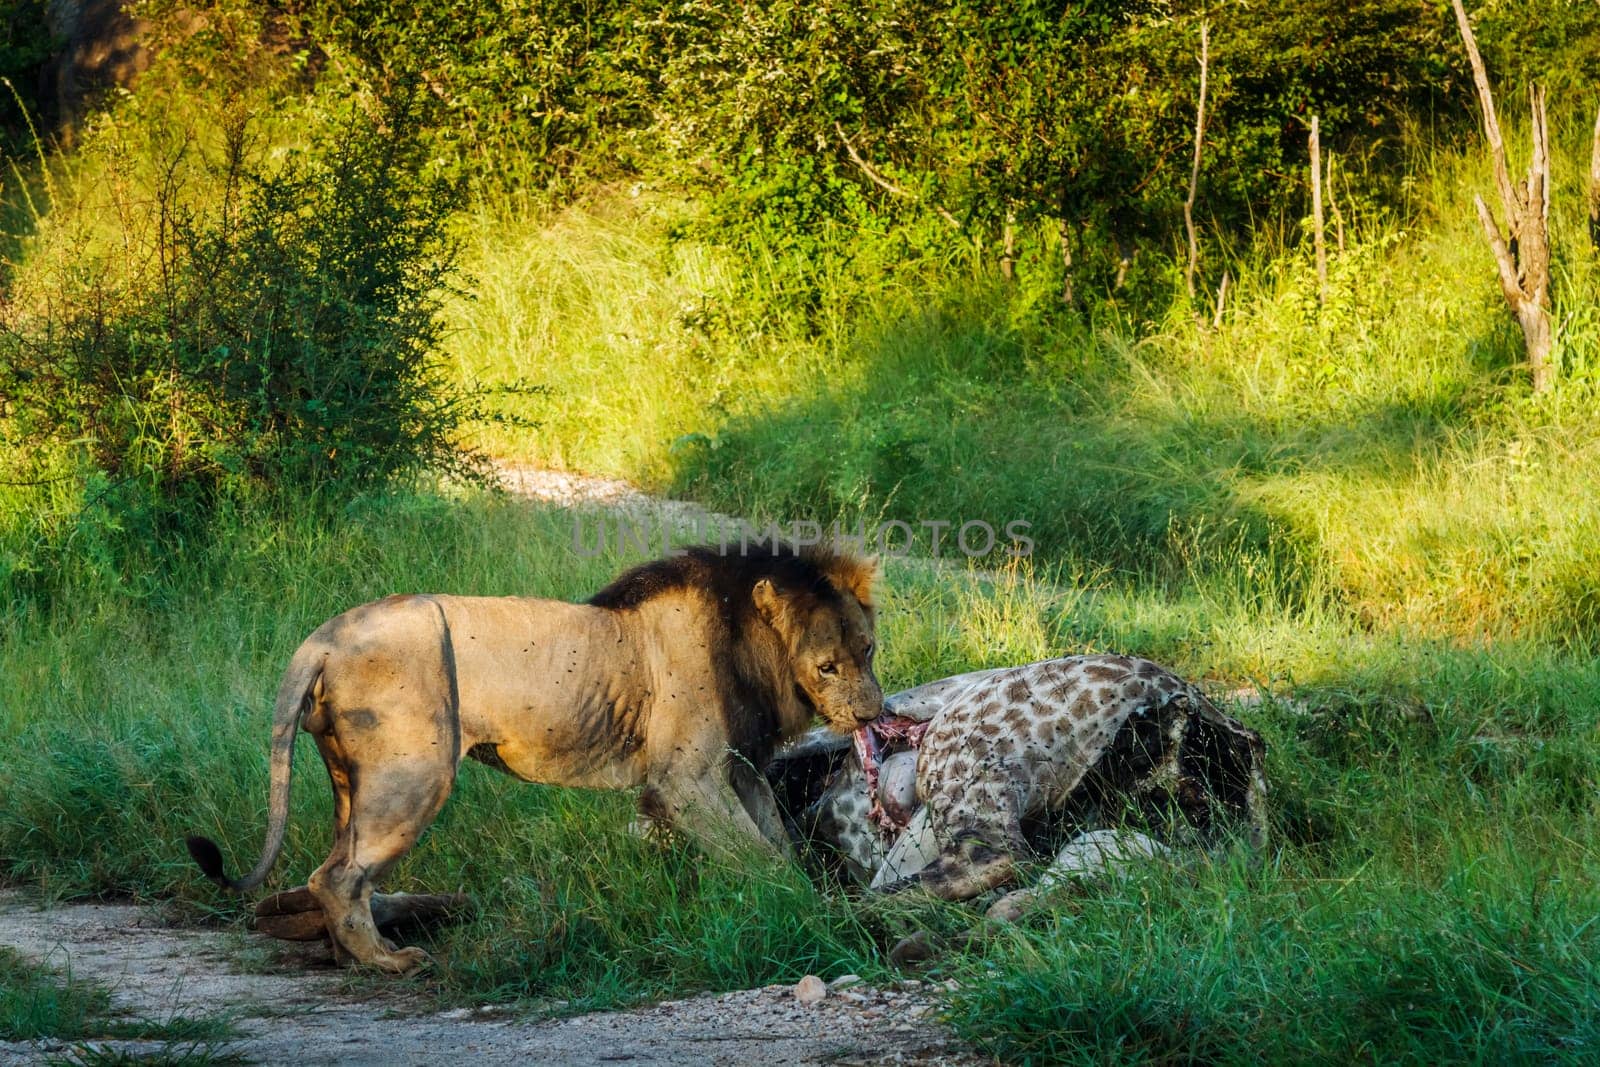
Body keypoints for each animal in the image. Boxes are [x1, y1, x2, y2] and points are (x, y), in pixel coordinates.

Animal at [193, 547, 889, 972]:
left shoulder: (738, 765)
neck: (752, 648)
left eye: (869, 651)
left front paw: (818, 901)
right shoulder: (686, 776)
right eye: (827, 666)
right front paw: (803, 914)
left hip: (351, 780)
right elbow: (759, 855)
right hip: (413, 774)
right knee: (336, 876)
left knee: (339, 866)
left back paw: (351, 954)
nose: (872, 714)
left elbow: (778, 838)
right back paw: (386, 962)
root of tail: (324, 638)